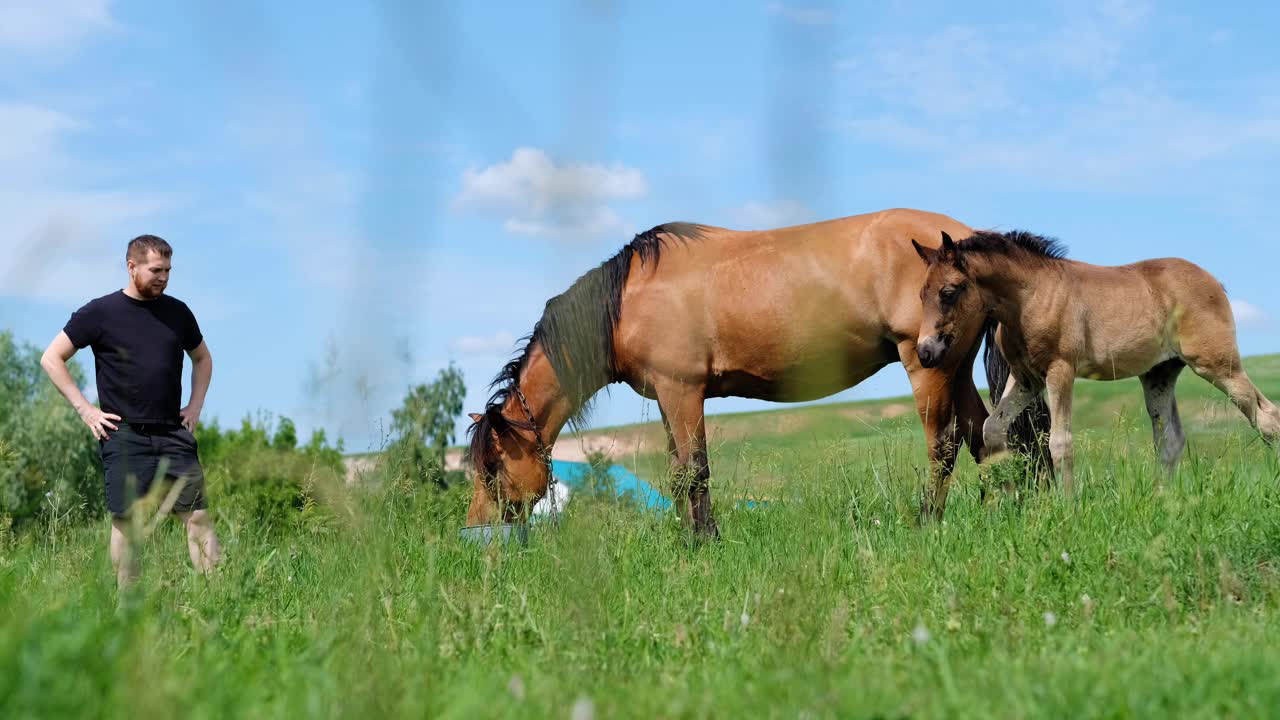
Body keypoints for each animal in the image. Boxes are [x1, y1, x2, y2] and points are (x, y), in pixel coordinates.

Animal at [471, 207, 1049, 532]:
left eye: (492, 468)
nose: (476, 531)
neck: (629, 299)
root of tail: (964, 236)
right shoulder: (668, 397)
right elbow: (678, 474)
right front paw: (686, 538)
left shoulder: (683, 391)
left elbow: (694, 470)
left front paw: (705, 542)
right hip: (953, 366)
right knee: (984, 436)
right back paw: (1006, 509)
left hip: (928, 364)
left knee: (944, 445)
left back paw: (926, 522)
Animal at [911, 229, 1280, 491]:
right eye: (921, 294)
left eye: (948, 292)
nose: (925, 352)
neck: (1030, 298)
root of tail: (1214, 282)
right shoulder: (1027, 378)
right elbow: (993, 429)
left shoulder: (1061, 370)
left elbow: (1061, 442)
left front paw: (1067, 507)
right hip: (1159, 374)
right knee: (1170, 441)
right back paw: (1163, 499)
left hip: (1218, 365)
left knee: (1267, 416)